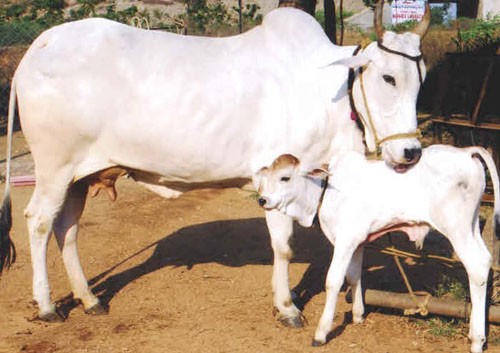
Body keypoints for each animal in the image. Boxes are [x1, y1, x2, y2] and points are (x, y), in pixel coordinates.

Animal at [0, 0, 430, 324]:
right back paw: (47, 305)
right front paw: (287, 307)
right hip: (54, 168)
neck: (330, 92)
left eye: (421, 77)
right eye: (388, 78)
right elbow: (283, 247)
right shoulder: (279, 174)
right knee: (39, 223)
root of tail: (42, 43)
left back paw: (89, 299)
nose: (411, 152)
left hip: (79, 176)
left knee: (67, 230)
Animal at [256, 144, 498, 352]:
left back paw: (477, 340)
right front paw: (358, 315)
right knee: (485, 260)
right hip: (471, 226)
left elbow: (333, 281)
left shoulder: (345, 240)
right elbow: (354, 276)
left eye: (285, 177)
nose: (262, 200)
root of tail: (466, 152)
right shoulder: (357, 242)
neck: (326, 190)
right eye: (266, 178)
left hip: (456, 228)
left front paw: (321, 333)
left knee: (476, 267)